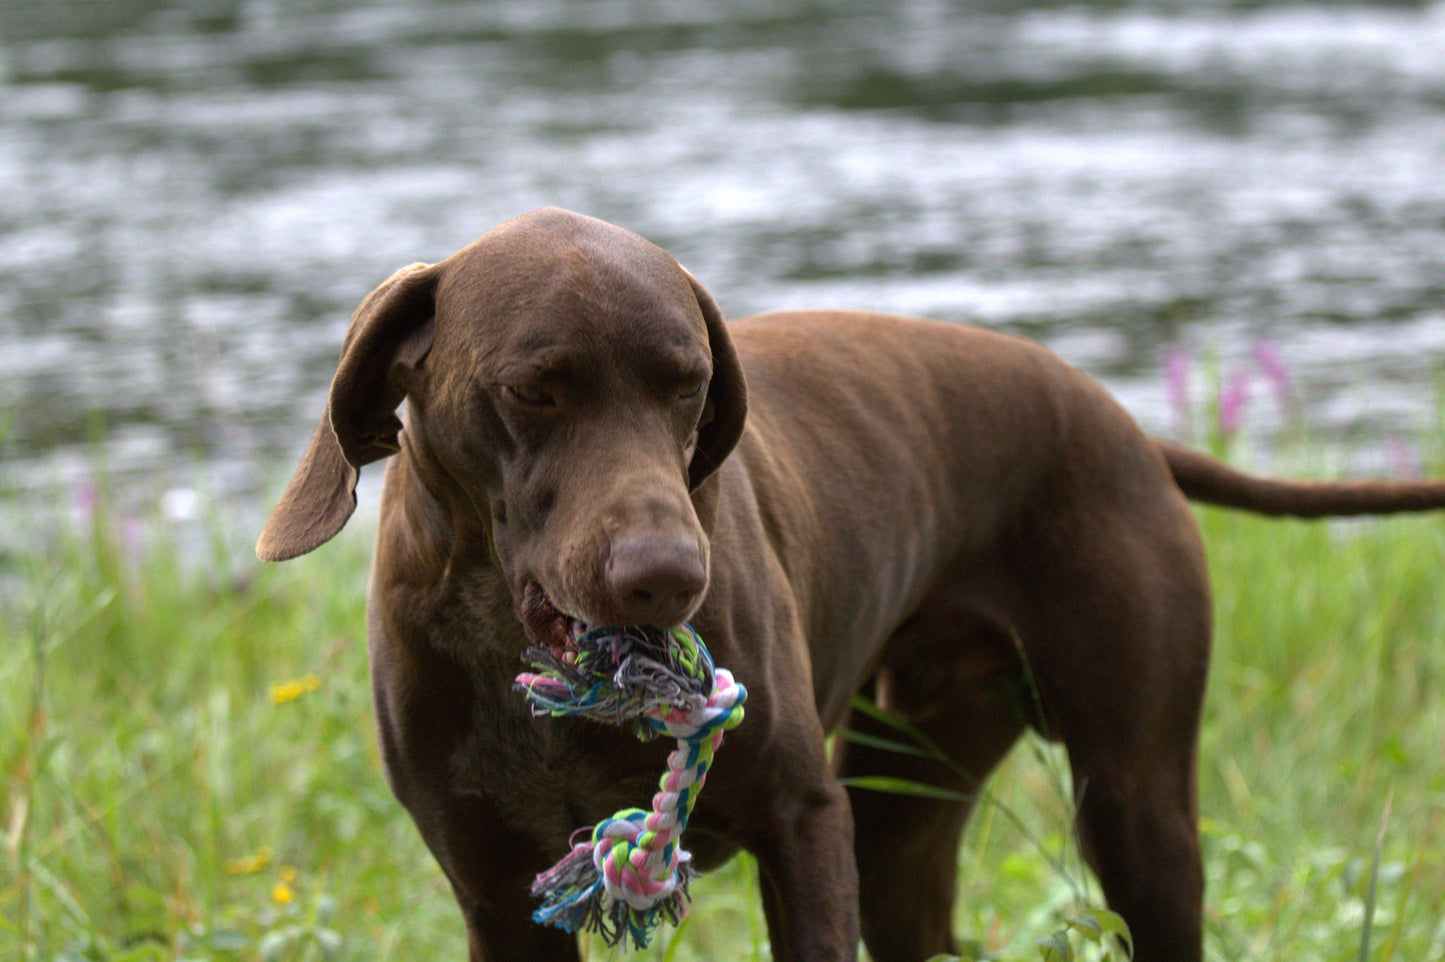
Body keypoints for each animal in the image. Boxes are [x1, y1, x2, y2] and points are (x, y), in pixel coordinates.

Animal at [260, 206, 1445, 953]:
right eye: (532, 391)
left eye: (687, 384)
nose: (667, 579)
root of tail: (1122, 424)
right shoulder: (499, 892)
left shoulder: (803, 827)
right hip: (901, 823)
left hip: (1130, 806)